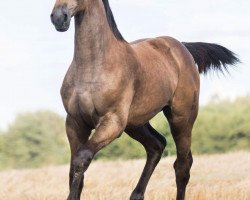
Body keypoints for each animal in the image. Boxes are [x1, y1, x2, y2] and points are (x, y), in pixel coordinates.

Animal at [50, 0, 238, 199]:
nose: (59, 17)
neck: (93, 68)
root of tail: (183, 47)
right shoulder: (75, 123)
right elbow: (74, 171)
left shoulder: (112, 122)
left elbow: (81, 159)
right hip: (136, 123)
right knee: (157, 145)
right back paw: (136, 194)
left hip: (182, 118)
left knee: (182, 166)